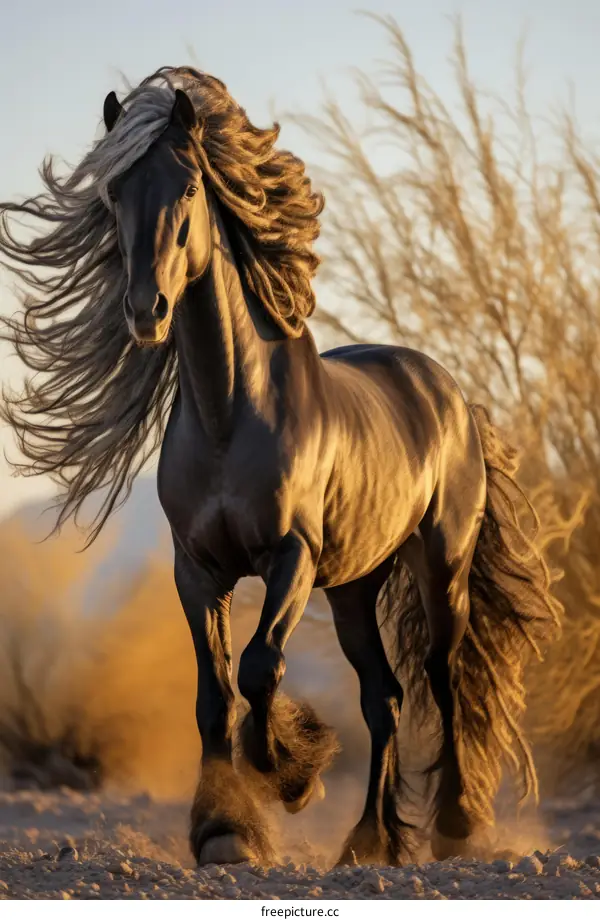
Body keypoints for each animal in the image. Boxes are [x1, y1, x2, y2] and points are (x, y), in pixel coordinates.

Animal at [0, 68, 561, 868]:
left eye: (187, 187)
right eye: (113, 191)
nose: (146, 311)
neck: (231, 414)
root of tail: (450, 394)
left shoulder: (291, 557)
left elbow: (260, 666)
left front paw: (287, 773)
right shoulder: (197, 569)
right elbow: (212, 694)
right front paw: (223, 828)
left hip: (439, 563)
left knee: (441, 678)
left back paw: (452, 825)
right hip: (356, 586)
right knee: (383, 696)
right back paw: (369, 841)